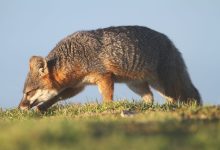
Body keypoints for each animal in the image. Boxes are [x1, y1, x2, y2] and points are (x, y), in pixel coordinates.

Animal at [18, 25, 202, 110]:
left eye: (28, 93)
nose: (19, 107)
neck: (76, 55)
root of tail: (169, 41)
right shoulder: (77, 86)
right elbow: (58, 96)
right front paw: (42, 108)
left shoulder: (104, 77)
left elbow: (107, 99)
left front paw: (107, 109)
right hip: (137, 86)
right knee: (150, 98)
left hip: (165, 87)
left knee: (183, 96)